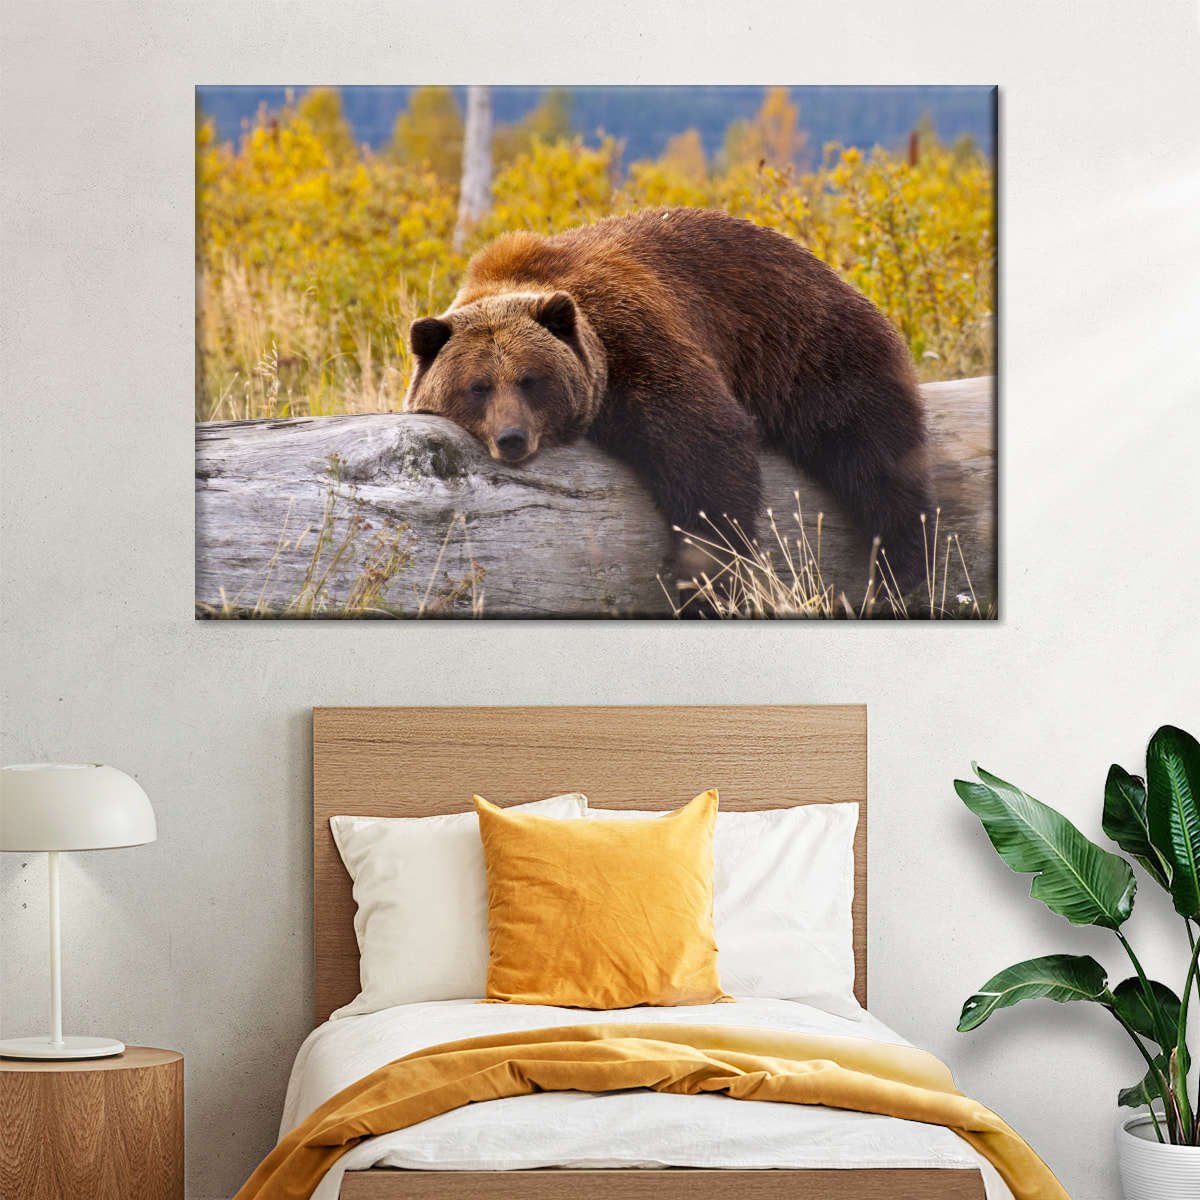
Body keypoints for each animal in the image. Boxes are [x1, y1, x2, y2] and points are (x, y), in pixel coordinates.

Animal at [403, 207, 932, 600]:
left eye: (531, 380)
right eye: (478, 386)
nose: (511, 438)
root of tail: (831, 271)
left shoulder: (635, 338)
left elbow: (704, 447)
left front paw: (702, 579)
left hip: (811, 350)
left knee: (873, 452)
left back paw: (900, 565)